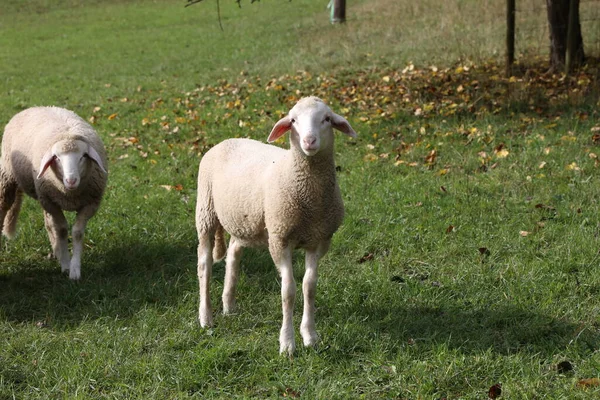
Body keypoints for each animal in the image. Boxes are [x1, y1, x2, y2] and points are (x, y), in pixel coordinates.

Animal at [0, 107, 108, 282]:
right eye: (56, 158)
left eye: (83, 157)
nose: (71, 180)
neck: (70, 194)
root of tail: (34, 107)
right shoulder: (51, 202)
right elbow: (62, 230)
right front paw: (65, 264)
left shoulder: (90, 204)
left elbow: (77, 233)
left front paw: (74, 269)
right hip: (10, 179)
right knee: (4, 207)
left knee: (48, 223)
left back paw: (56, 250)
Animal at [197, 97, 356, 356]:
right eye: (293, 120)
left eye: (326, 119)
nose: (309, 141)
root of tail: (227, 140)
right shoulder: (280, 239)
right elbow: (288, 291)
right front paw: (287, 343)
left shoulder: (319, 240)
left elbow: (309, 286)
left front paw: (310, 336)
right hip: (205, 212)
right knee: (204, 266)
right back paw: (206, 317)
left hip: (245, 222)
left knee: (233, 253)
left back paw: (229, 305)